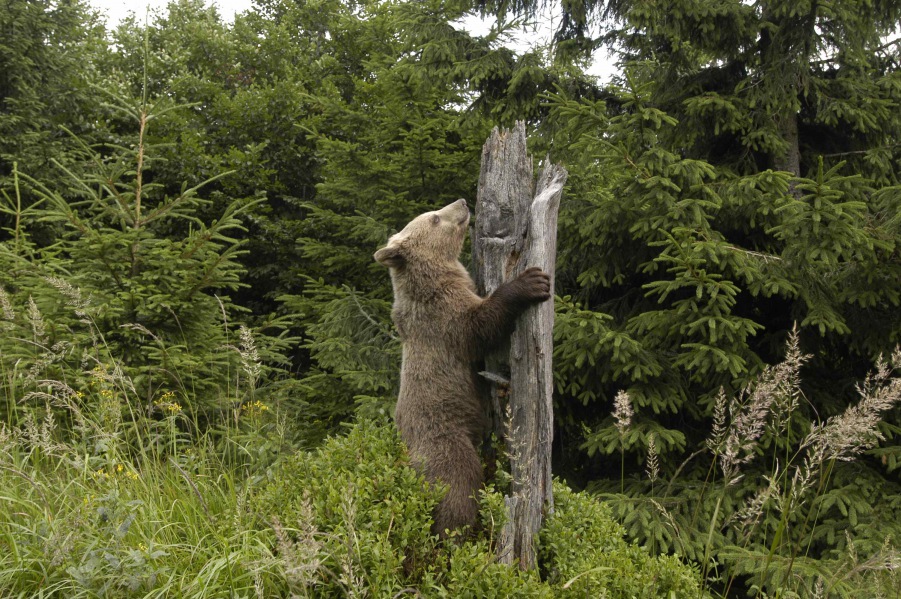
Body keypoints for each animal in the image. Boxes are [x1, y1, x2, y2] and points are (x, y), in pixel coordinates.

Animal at [374, 198, 551, 537]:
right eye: (433, 218)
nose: (462, 202)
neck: (432, 280)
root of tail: (409, 463)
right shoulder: (443, 318)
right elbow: (480, 326)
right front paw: (532, 281)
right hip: (445, 439)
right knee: (459, 484)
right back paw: (461, 532)